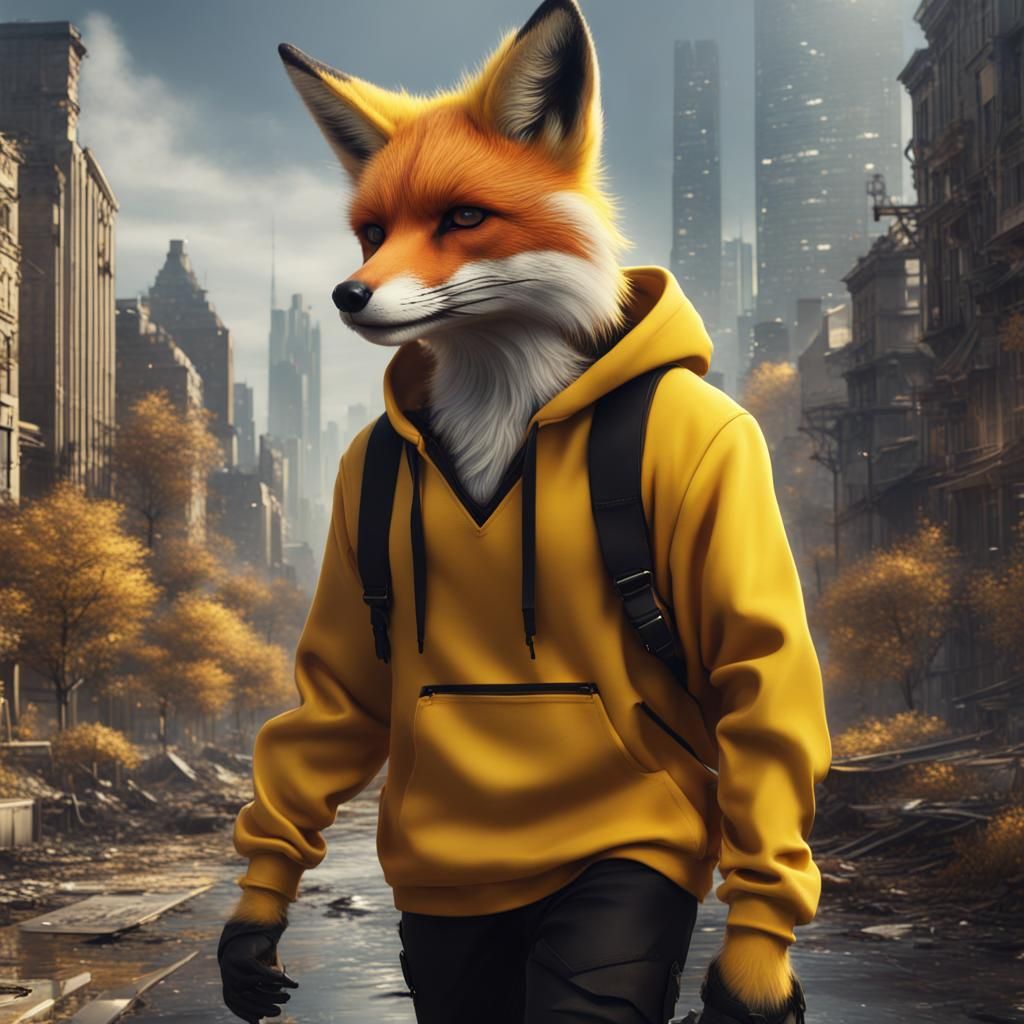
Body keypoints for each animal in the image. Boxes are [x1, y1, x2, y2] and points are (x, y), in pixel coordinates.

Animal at [217, 2, 828, 1023]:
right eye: (372, 232)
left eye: (463, 217)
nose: (348, 293)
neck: (508, 409)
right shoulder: (355, 492)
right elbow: (336, 699)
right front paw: (254, 923)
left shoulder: (718, 454)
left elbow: (757, 666)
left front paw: (754, 969)